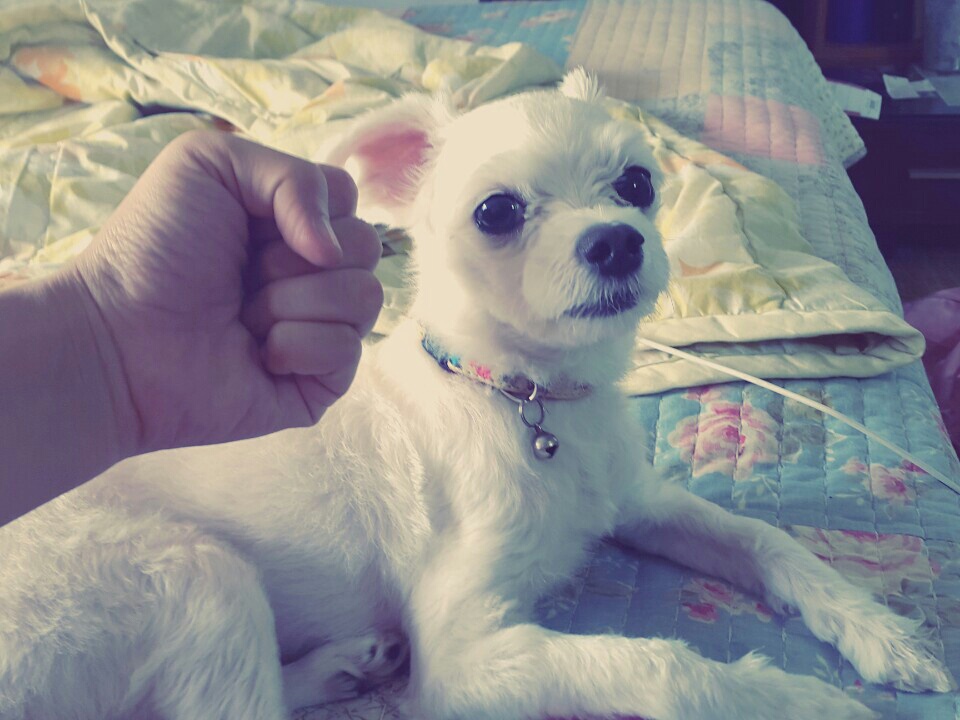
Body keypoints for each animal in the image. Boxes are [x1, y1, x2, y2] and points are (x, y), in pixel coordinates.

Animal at [0, 69, 952, 720]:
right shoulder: (466, 658)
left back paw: (343, 661)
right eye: (497, 213)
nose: (616, 240)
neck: (529, 399)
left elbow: (769, 541)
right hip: (199, 577)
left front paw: (881, 631)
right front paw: (796, 699)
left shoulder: (640, 504)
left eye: (637, 184)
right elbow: (659, 664)